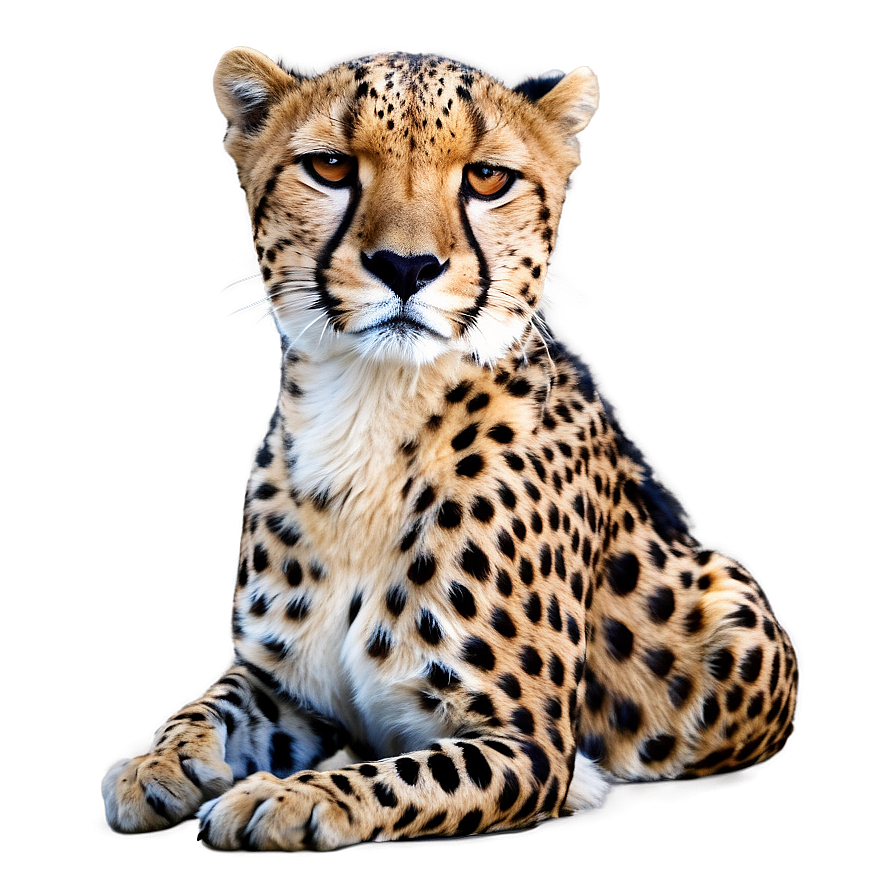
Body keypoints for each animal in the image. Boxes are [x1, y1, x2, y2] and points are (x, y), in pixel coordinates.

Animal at [102, 48, 798, 851]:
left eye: (487, 178)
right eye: (331, 167)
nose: (406, 266)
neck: (370, 413)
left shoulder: (528, 743)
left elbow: (402, 775)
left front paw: (286, 796)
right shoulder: (290, 689)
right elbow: (211, 703)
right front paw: (158, 762)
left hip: (738, 611)